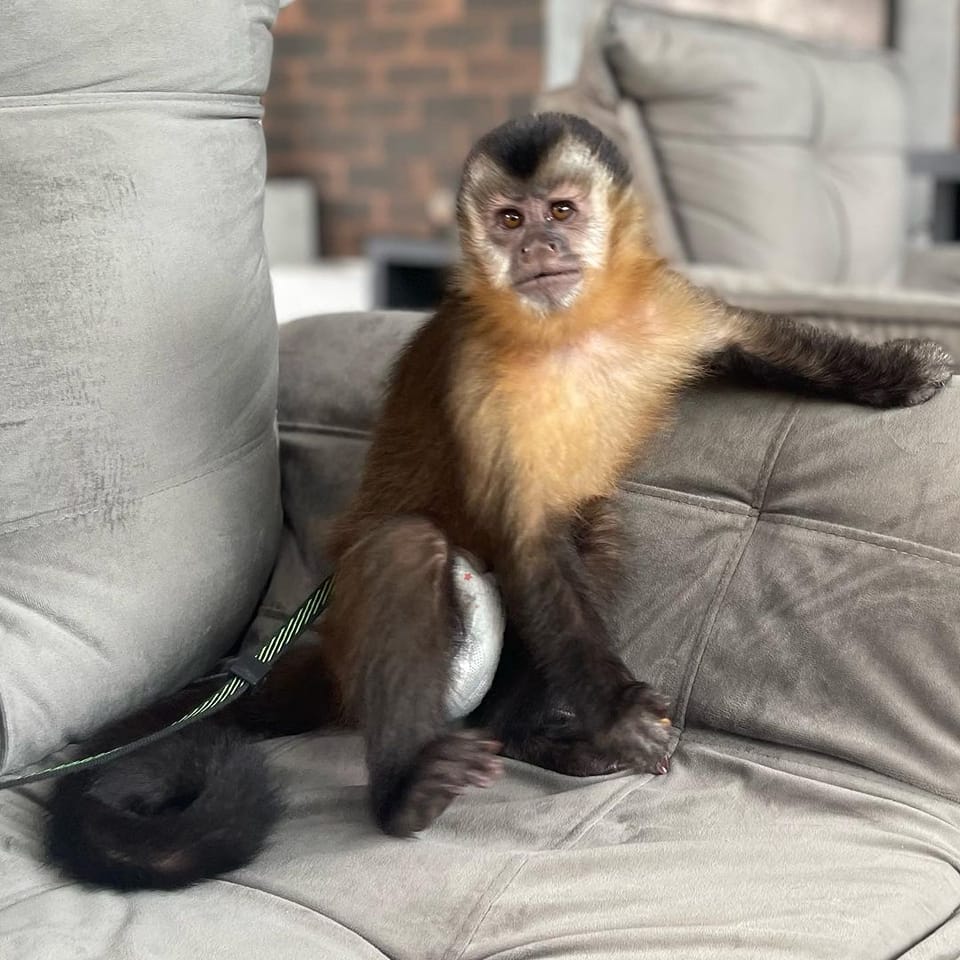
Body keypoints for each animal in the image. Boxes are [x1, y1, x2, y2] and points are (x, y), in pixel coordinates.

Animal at [46, 112, 954, 889]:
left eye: (561, 210)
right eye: (510, 220)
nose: (541, 244)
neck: (573, 328)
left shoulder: (662, 303)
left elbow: (755, 341)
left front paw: (893, 370)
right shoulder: (477, 370)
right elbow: (528, 542)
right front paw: (619, 713)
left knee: (593, 530)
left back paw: (529, 738)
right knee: (413, 552)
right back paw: (404, 793)